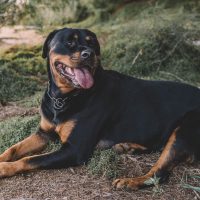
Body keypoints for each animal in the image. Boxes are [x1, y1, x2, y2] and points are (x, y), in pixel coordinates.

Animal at [0, 27, 200, 190]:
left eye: (92, 43)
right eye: (69, 42)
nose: (89, 53)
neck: (63, 98)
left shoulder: (74, 149)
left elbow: (30, 159)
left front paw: (4, 168)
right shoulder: (43, 133)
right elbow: (13, 149)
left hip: (184, 128)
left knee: (160, 173)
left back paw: (130, 181)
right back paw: (128, 147)